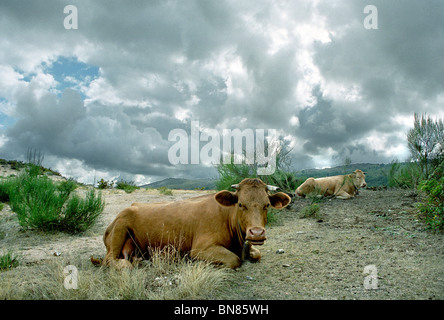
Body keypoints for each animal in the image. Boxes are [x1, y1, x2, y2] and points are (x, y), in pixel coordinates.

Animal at [92, 179, 292, 268]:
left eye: (267, 205)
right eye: (241, 204)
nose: (256, 233)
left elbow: (257, 254)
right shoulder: (200, 248)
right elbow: (234, 260)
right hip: (121, 226)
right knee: (111, 259)